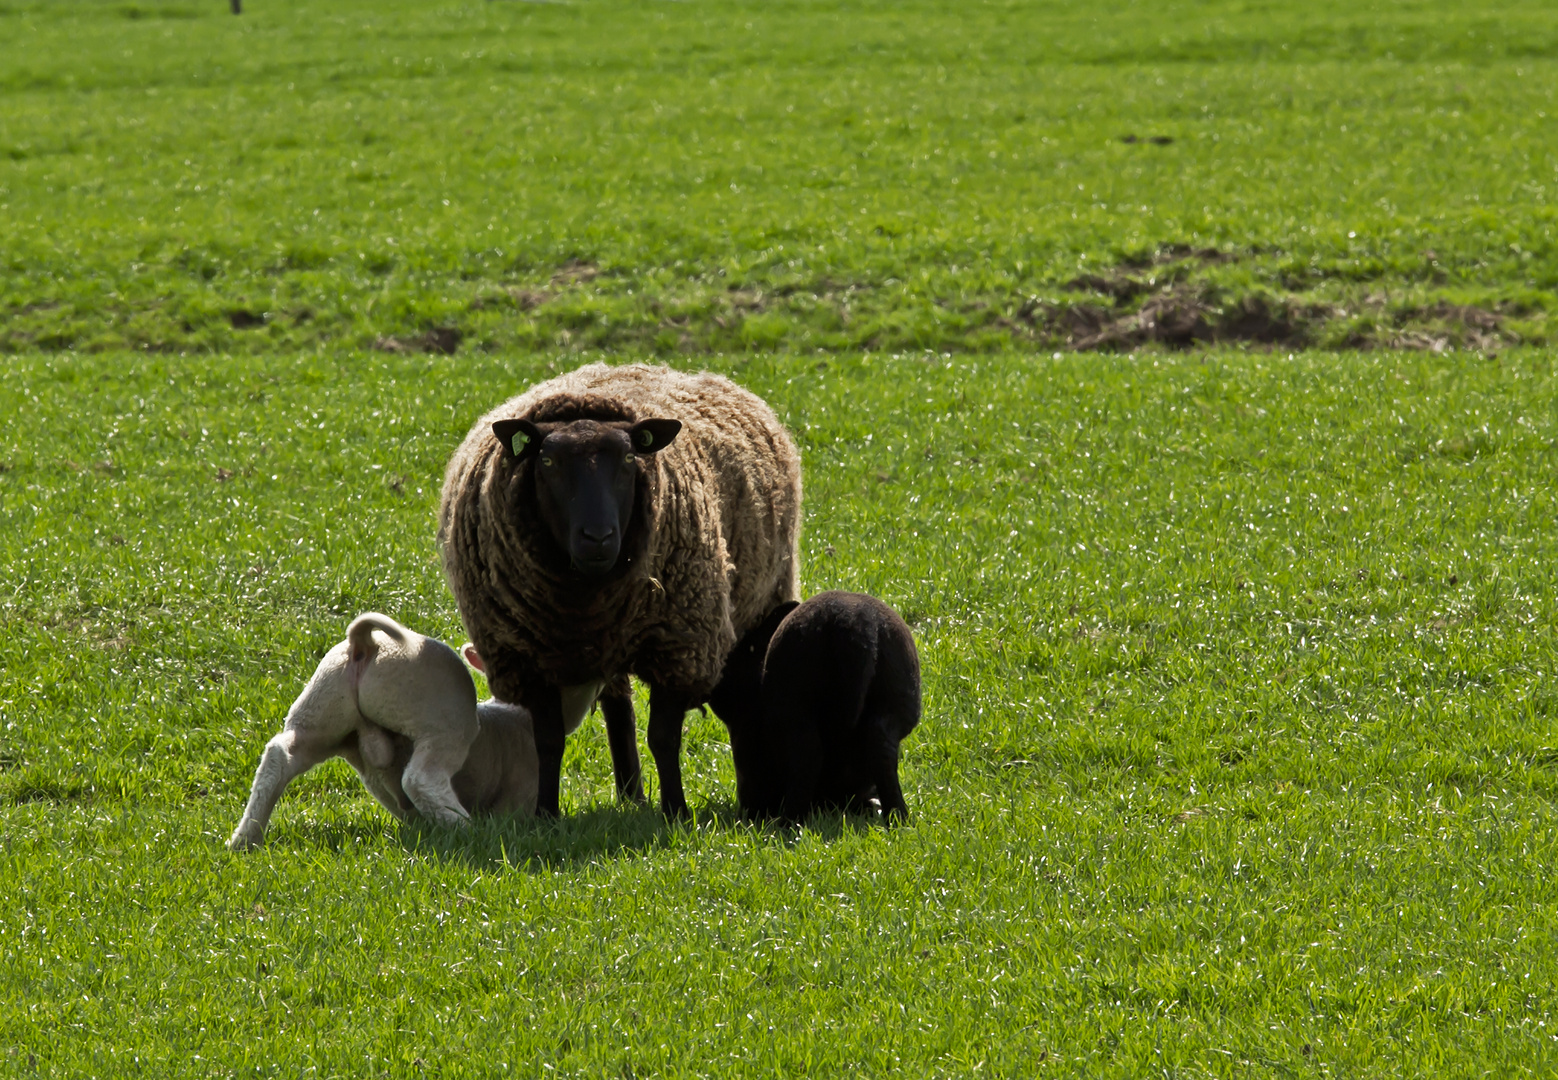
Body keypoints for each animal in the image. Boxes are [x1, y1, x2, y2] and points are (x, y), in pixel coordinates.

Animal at [439, 361, 803, 816]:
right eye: (547, 461)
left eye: (629, 458)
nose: (598, 537)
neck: (585, 601)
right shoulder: (526, 658)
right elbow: (548, 742)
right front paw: (546, 814)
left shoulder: (680, 648)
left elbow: (663, 738)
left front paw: (676, 812)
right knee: (619, 712)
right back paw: (631, 794)